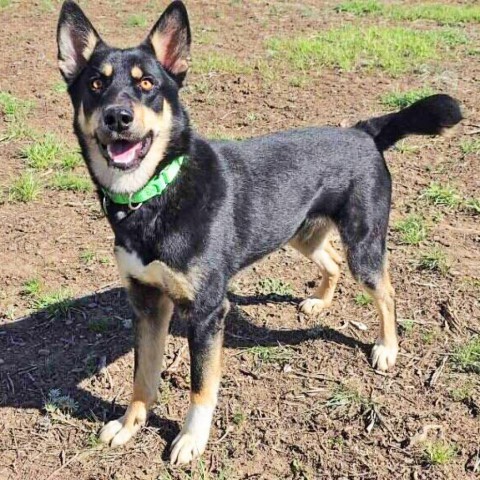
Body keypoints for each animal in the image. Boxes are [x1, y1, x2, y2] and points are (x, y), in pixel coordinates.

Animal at [56, 0, 462, 464]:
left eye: (147, 84)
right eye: (95, 83)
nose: (118, 117)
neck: (155, 194)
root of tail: (365, 132)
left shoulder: (208, 312)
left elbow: (201, 386)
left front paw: (191, 440)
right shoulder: (146, 302)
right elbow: (143, 375)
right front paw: (129, 425)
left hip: (364, 245)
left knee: (387, 291)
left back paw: (387, 348)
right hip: (301, 232)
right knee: (332, 261)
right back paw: (319, 302)